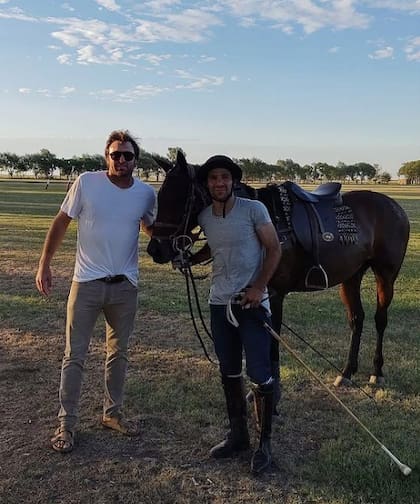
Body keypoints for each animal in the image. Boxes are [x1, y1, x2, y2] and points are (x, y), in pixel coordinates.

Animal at [146, 151, 408, 386]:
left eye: (179, 198)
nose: (155, 249)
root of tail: (394, 206)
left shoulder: (272, 294)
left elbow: (272, 344)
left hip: (386, 275)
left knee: (380, 319)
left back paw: (377, 372)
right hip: (351, 275)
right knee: (357, 319)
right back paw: (346, 372)